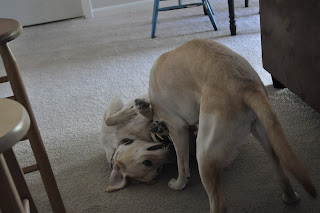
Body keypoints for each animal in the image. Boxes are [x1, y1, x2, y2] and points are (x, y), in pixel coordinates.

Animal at [148, 39, 318, 212]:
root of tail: (246, 87)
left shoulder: (176, 128)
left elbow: (181, 163)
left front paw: (178, 183)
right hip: (266, 134)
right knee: (280, 169)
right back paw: (290, 198)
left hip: (204, 154)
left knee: (219, 203)